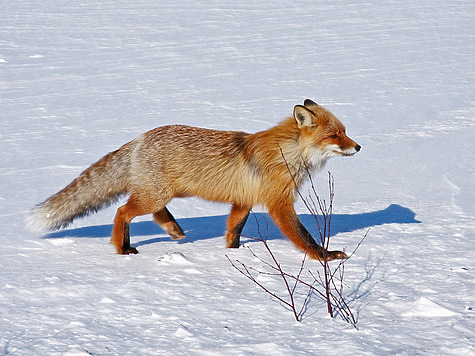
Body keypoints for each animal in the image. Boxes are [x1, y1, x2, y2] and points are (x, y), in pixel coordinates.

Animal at [27, 98, 360, 260]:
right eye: (335, 135)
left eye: (344, 132)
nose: (358, 147)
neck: (287, 153)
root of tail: (140, 137)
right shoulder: (278, 203)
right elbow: (304, 236)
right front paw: (324, 256)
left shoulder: (244, 200)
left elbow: (233, 230)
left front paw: (232, 253)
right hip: (155, 195)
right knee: (122, 211)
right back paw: (123, 248)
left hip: (160, 194)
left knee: (147, 212)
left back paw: (172, 229)